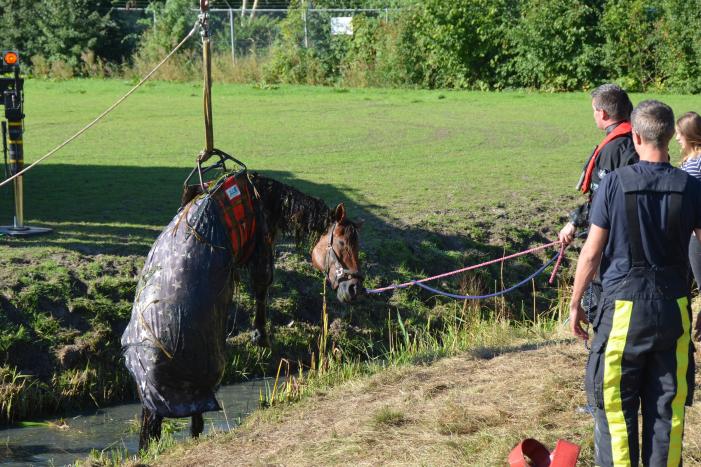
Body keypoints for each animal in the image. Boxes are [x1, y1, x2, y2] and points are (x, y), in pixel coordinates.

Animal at [120, 171, 364, 451]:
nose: (355, 288)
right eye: (342, 242)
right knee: (192, 416)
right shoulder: (262, 246)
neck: (257, 195)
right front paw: (260, 335)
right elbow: (262, 285)